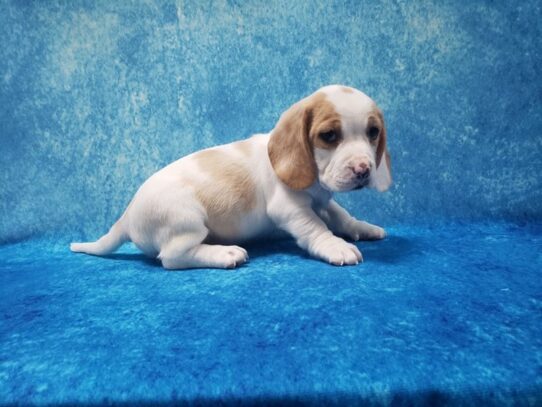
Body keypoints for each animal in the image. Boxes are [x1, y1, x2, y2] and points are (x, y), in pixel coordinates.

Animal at [73, 84, 396, 270]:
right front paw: (335, 246)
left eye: (373, 132)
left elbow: (341, 215)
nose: (363, 169)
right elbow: (317, 229)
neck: (315, 180)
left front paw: (362, 227)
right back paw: (224, 254)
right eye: (329, 136)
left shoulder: (321, 200)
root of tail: (127, 216)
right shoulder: (292, 209)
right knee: (173, 257)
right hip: (187, 220)